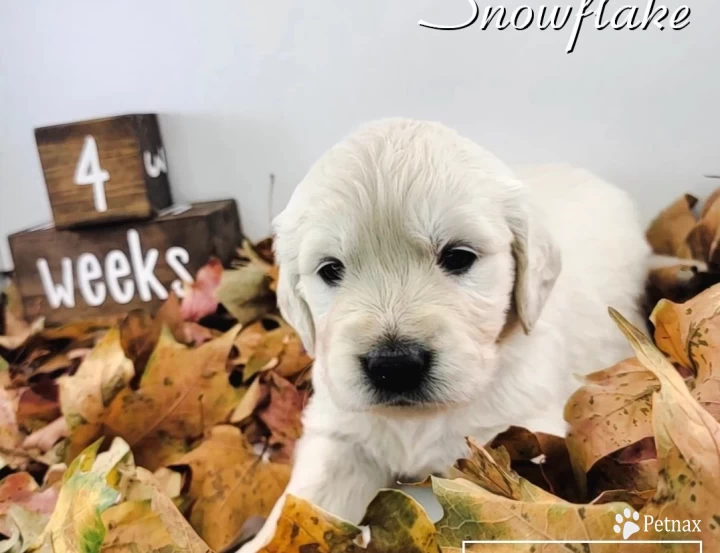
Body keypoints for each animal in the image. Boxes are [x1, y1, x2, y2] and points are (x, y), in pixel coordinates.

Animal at [239, 118, 648, 548]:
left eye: (458, 257)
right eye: (331, 269)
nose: (394, 366)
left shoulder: (521, 433)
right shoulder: (341, 432)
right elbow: (304, 500)